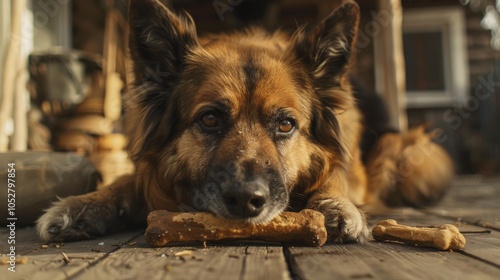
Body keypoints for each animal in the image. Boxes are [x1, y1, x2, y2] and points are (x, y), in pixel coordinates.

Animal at [36, 0, 454, 242]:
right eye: (209, 119)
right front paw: (83, 205)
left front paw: (336, 205)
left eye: (286, 124)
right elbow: (125, 181)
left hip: (403, 151)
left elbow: (334, 177)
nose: (246, 200)